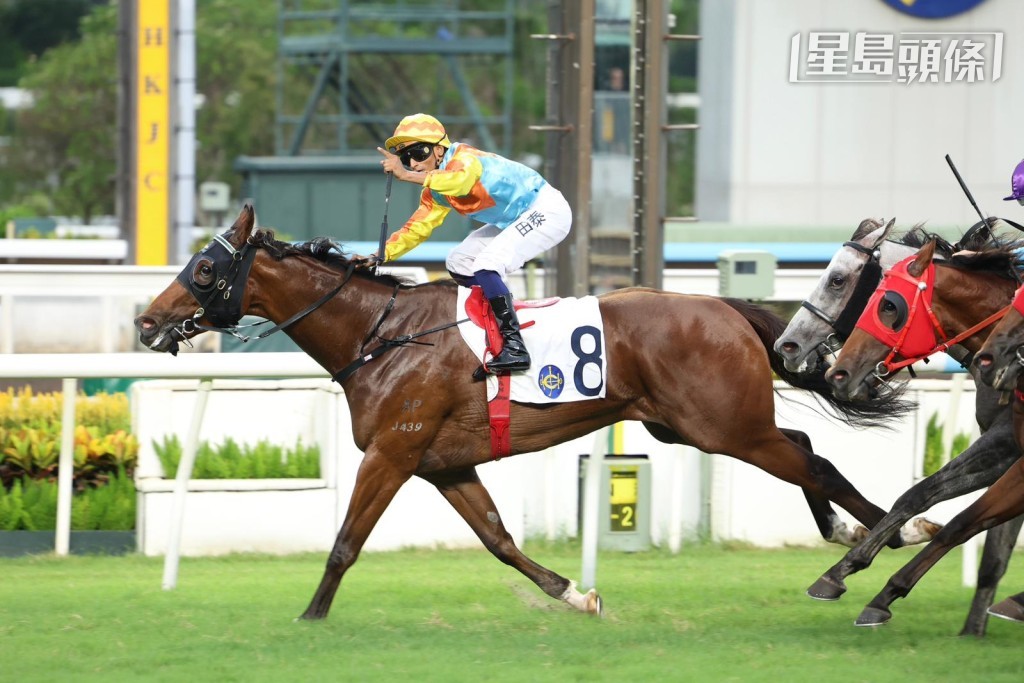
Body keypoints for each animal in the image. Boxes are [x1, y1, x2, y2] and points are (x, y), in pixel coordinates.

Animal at [134, 205, 934, 621]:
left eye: (203, 268)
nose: (145, 322)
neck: (380, 334)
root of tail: (722, 305)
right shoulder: (444, 464)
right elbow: (499, 540)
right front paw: (575, 592)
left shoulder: (392, 452)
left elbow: (344, 541)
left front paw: (311, 615)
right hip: (692, 423)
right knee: (803, 445)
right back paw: (857, 532)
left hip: (725, 426)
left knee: (814, 462)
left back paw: (886, 534)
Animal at [776, 218, 1024, 636]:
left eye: (837, 280)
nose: (787, 345)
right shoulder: (1005, 447)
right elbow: (924, 497)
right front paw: (841, 575)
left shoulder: (1008, 443)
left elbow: (966, 521)